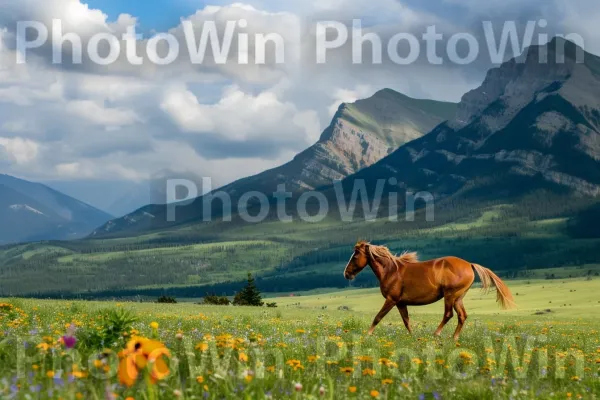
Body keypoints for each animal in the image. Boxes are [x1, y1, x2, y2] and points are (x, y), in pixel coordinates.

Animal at [342, 241, 516, 340]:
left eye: (355, 256)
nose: (346, 274)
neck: (391, 271)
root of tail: (469, 264)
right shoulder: (400, 303)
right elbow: (406, 321)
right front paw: (412, 337)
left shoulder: (391, 300)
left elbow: (377, 318)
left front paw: (367, 334)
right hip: (458, 297)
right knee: (462, 316)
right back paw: (454, 338)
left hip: (450, 295)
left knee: (449, 314)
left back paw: (436, 334)